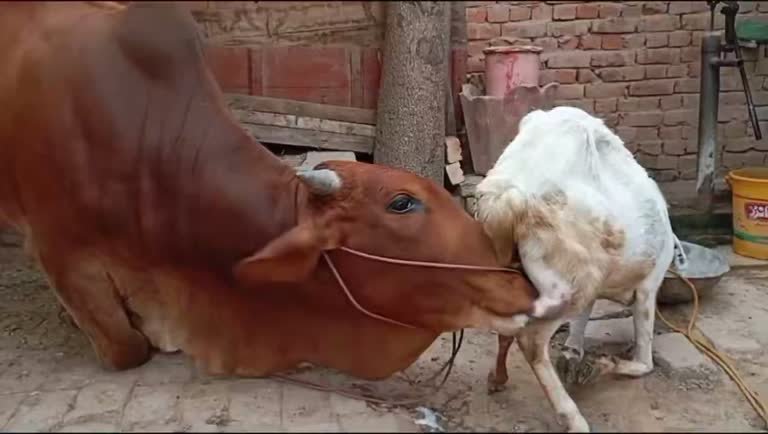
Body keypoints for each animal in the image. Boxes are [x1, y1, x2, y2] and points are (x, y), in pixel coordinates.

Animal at [475, 106, 688, 432]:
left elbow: (580, 323)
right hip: (577, 280)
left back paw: (498, 379)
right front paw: (606, 364)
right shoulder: (647, 288)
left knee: (507, 325)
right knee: (531, 338)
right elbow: (645, 357)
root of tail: (511, 196)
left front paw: (573, 355)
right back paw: (573, 418)